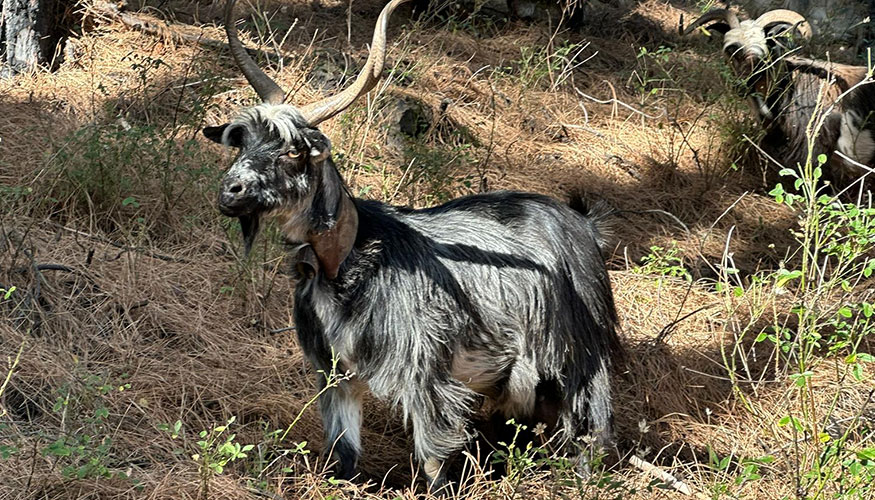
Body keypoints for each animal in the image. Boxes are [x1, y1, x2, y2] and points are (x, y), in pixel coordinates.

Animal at [204, 0, 624, 488]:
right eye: (242, 143)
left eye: (293, 151)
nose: (231, 191)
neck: (352, 257)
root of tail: (584, 223)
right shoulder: (334, 372)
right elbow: (343, 455)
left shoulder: (425, 374)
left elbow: (433, 460)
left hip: (580, 356)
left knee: (594, 428)